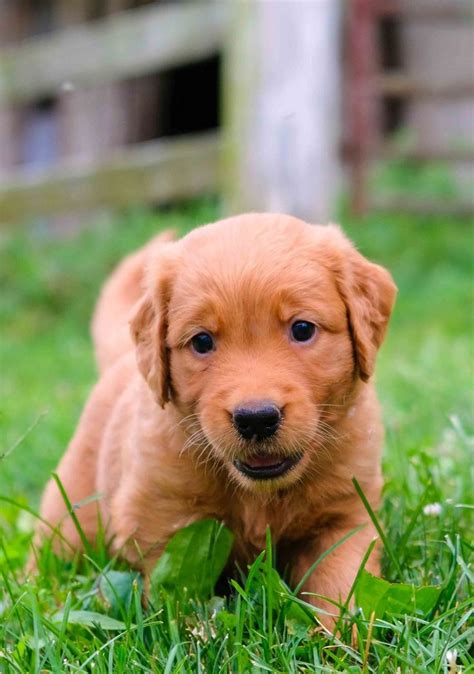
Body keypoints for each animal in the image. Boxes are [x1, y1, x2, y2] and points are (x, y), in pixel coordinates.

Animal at [35, 211, 396, 624]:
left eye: (303, 329)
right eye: (202, 341)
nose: (256, 419)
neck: (259, 493)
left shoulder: (345, 517)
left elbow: (342, 586)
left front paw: (343, 636)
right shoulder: (165, 522)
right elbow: (177, 596)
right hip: (68, 515)